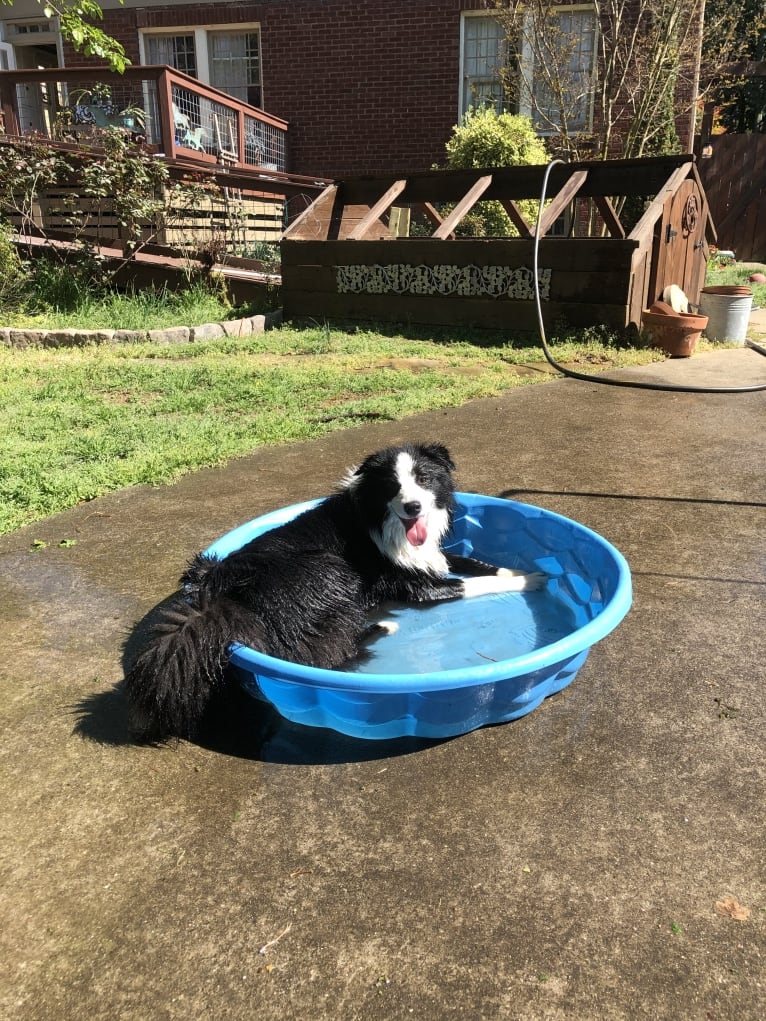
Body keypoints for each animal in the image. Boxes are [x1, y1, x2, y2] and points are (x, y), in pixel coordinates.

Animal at [126, 441, 543, 743]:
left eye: (424, 478)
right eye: (393, 486)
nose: (413, 506)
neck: (384, 520)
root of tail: (224, 598)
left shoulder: (431, 557)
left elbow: (475, 564)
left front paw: (524, 569)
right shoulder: (415, 586)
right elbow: (475, 582)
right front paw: (532, 581)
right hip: (328, 569)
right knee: (321, 657)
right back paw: (380, 629)